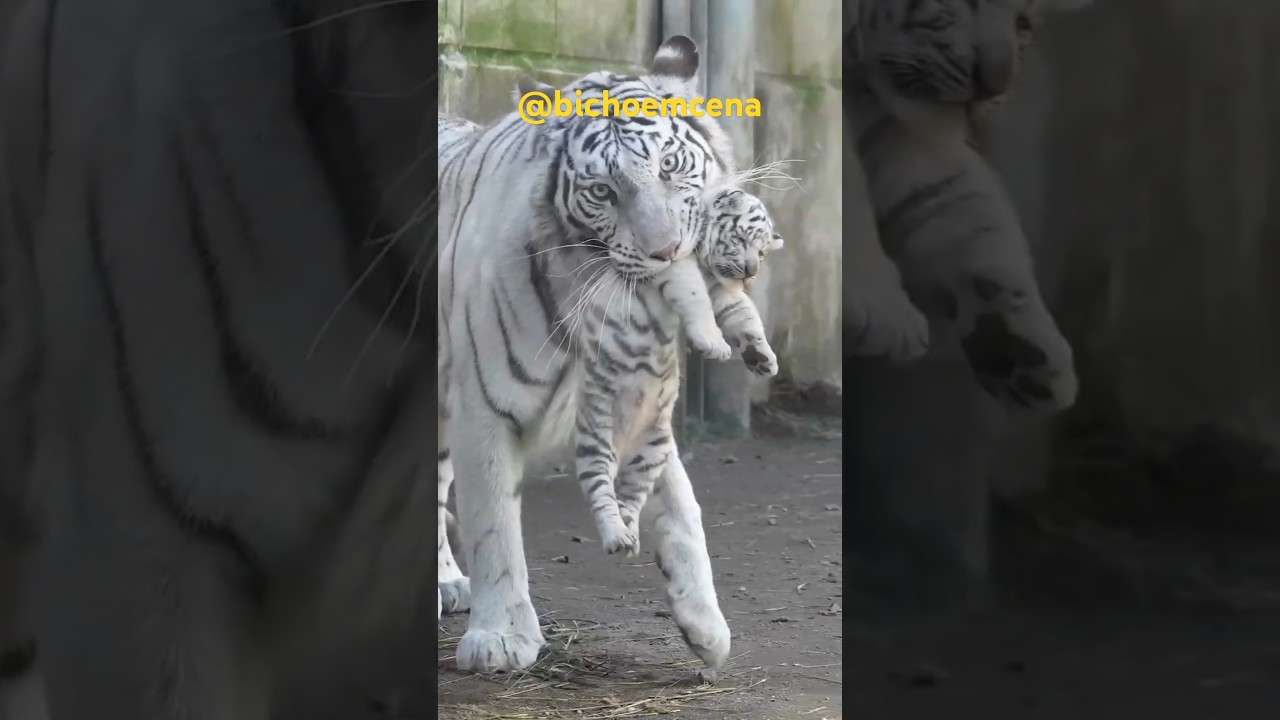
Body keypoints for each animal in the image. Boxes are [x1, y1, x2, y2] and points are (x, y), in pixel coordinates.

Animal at [436, 36, 737, 676]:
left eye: (669, 165)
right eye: (604, 192)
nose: (666, 251)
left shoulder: (640, 403)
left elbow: (683, 505)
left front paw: (706, 624)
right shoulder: (485, 410)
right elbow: (494, 525)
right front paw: (503, 638)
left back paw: (447, 581)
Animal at [845, 0, 1092, 411]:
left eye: (1022, 23)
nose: (994, 87)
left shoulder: (903, 133)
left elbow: (967, 211)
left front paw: (1022, 348)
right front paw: (882, 315)